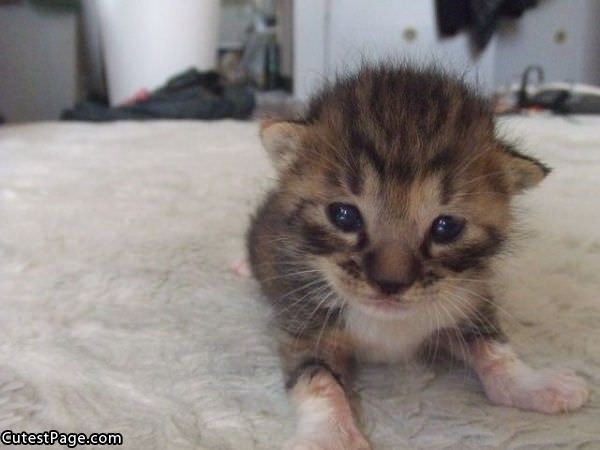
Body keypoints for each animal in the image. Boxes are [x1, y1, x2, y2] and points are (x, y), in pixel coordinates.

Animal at [246, 65, 588, 448]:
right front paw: (330, 435)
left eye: (446, 227)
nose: (390, 284)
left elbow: (496, 349)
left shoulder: (468, 298)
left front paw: (532, 384)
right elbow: (316, 379)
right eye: (344, 216)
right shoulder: (303, 320)